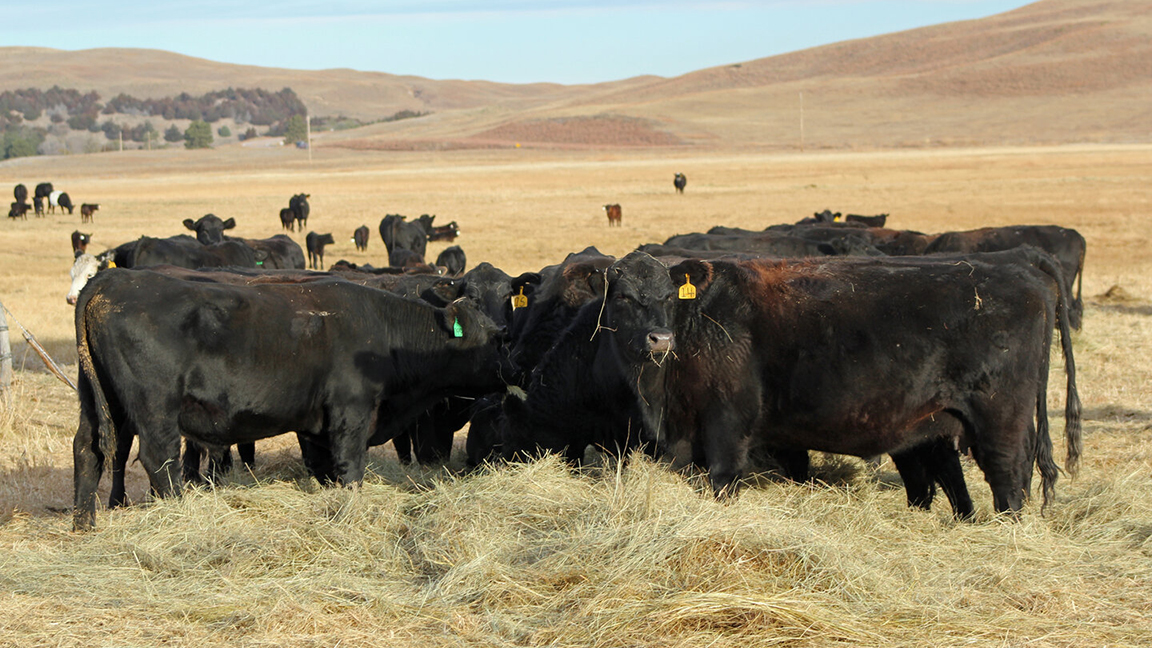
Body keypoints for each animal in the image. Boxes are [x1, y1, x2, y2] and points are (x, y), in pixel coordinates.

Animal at [72, 268, 509, 530]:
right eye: (495, 338)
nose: (514, 365)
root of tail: (113, 278)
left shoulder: (318, 426)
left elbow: (324, 469)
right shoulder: (351, 413)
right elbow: (351, 468)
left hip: (99, 402)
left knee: (87, 450)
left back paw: (84, 525)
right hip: (155, 408)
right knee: (159, 459)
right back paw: (181, 516)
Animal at [659, 251, 1081, 516]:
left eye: (663, 295)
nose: (657, 338)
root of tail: (1025, 272)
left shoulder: (727, 418)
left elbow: (723, 477)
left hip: (999, 417)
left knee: (1007, 472)